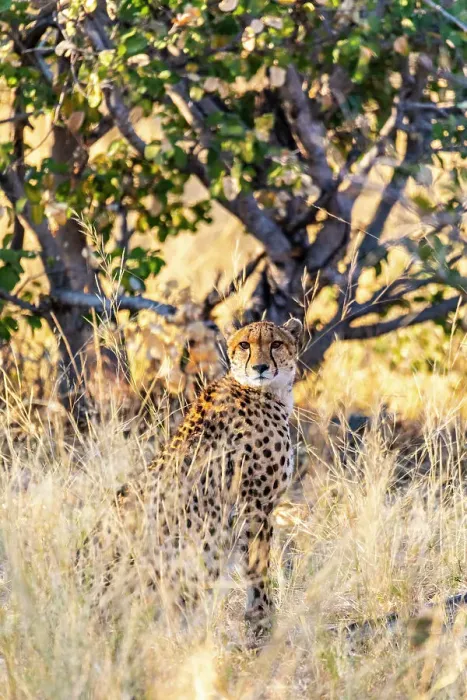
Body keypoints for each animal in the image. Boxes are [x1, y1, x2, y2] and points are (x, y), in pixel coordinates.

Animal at [81, 317, 303, 642]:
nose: (260, 367)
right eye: (245, 345)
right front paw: (263, 623)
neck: (263, 391)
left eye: (276, 344)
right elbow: (258, 568)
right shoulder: (254, 506)